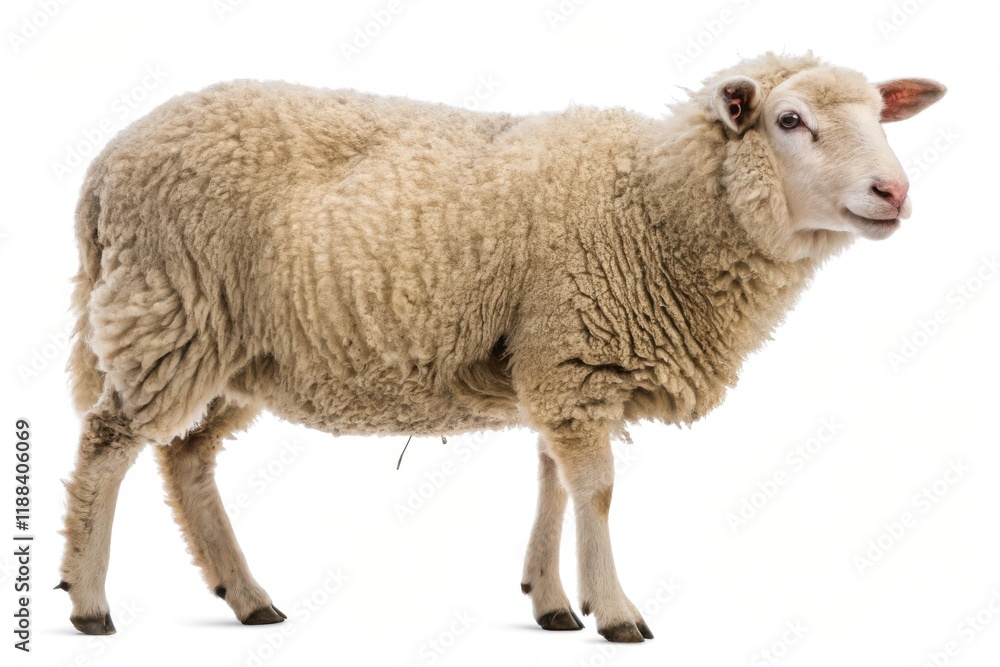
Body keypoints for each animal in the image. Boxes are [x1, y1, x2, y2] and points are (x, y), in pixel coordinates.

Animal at [58, 51, 945, 642]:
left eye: (879, 114)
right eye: (790, 121)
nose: (894, 191)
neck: (656, 204)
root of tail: (105, 166)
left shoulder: (553, 363)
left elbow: (552, 481)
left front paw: (551, 598)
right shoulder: (575, 355)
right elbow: (597, 491)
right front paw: (616, 611)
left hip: (234, 349)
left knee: (185, 457)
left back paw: (246, 595)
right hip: (169, 310)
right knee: (107, 443)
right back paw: (90, 600)